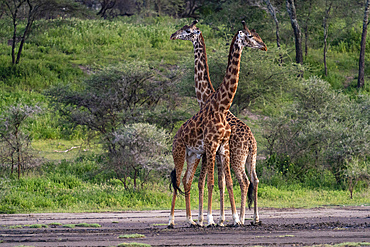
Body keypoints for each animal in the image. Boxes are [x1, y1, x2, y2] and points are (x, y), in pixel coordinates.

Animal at [168, 21, 266, 228]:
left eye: (187, 31)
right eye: (251, 35)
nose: (264, 46)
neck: (209, 98)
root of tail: (252, 141)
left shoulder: (216, 149)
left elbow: (215, 182)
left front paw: (216, 219)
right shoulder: (211, 149)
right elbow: (213, 182)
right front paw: (215, 219)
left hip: (238, 157)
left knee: (245, 181)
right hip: (246, 158)